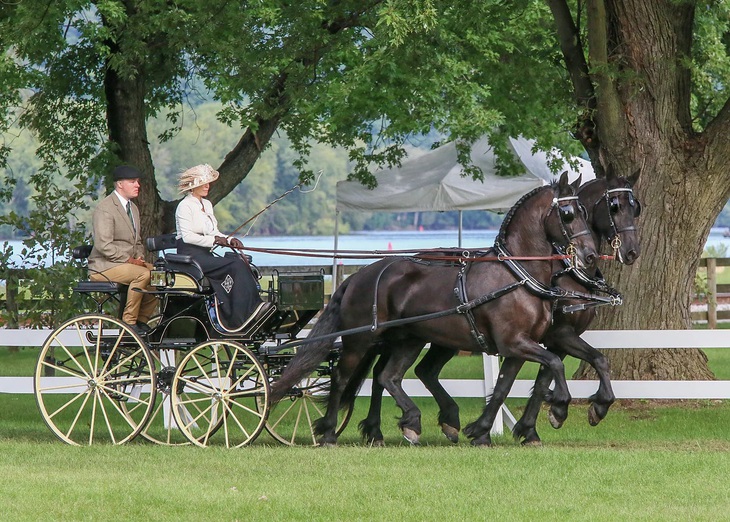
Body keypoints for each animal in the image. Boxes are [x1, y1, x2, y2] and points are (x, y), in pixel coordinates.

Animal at [272, 171, 596, 442]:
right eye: (568, 214)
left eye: (585, 212)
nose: (590, 255)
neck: (517, 274)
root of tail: (358, 276)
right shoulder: (515, 342)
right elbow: (554, 364)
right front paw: (559, 409)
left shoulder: (520, 346)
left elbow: (505, 386)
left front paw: (482, 431)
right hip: (360, 340)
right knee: (342, 378)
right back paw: (329, 432)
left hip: (407, 340)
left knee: (387, 376)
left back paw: (409, 423)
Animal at [362, 167, 636, 442]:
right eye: (614, 206)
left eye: (636, 207)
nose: (632, 251)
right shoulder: (553, 336)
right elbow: (548, 374)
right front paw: (553, 412)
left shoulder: (553, 339)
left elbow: (589, 362)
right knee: (382, 374)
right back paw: (380, 428)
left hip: (435, 338)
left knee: (415, 372)